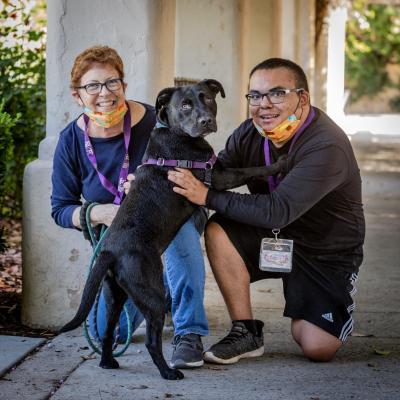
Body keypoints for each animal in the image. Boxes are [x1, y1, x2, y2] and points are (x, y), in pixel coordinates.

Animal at [59, 79, 286, 382]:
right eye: (186, 105)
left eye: (207, 98)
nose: (206, 120)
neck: (175, 133)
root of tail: (109, 251)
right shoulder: (218, 176)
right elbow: (251, 169)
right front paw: (280, 162)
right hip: (151, 293)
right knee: (151, 341)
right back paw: (168, 372)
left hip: (115, 294)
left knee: (108, 331)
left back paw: (108, 362)